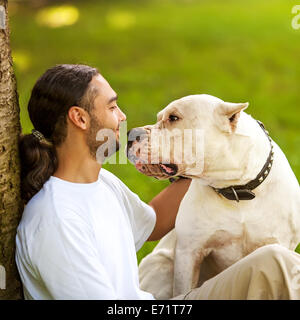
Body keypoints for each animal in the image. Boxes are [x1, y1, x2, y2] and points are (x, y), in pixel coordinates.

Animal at [126, 94, 300, 298]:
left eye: (173, 118)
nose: (131, 133)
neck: (236, 189)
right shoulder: (188, 253)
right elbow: (184, 289)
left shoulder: (279, 244)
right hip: (161, 265)